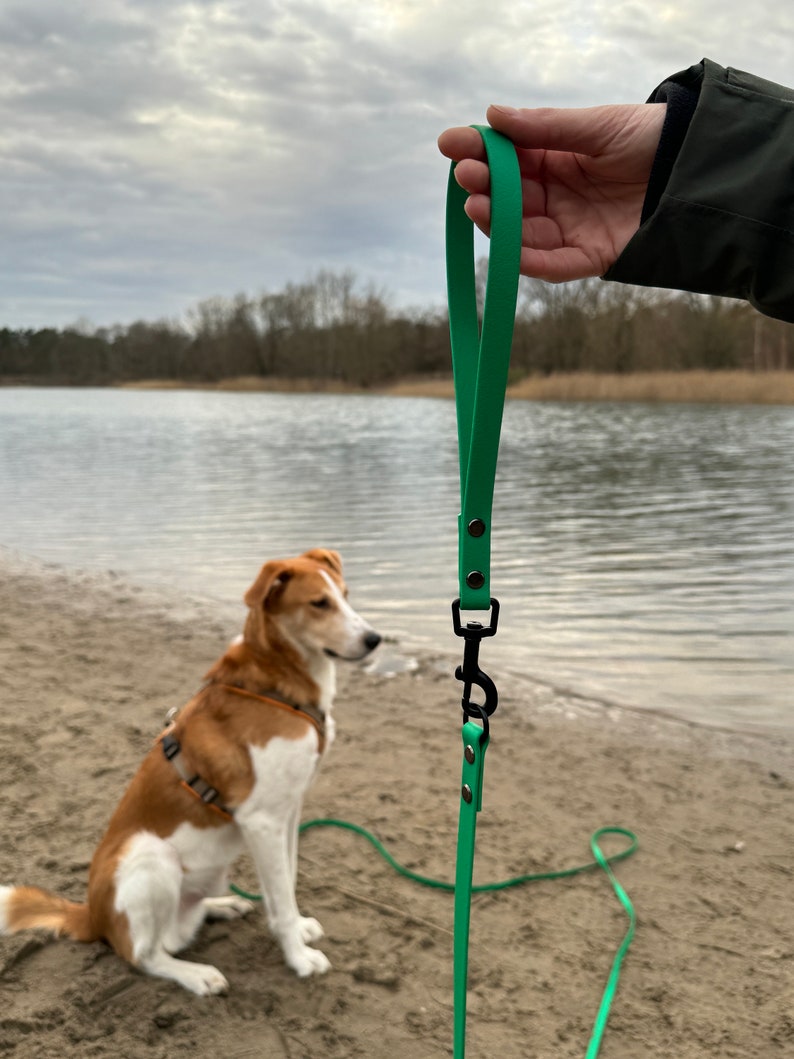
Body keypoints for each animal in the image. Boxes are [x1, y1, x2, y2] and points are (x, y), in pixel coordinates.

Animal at [0, 550, 383, 995]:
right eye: (319, 603)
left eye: (345, 595)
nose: (375, 639)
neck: (276, 685)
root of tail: (91, 915)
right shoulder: (262, 821)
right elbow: (281, 900)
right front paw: (299, 959)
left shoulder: (289, 811)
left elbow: (286, 883)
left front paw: (299, 930)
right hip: (150, 854)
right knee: (144, 955)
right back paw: (196, 975)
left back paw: (222, 904)